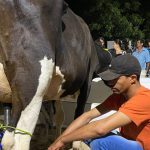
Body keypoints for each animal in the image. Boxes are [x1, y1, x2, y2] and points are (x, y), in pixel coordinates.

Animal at [0, 0, 110, 149]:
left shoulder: (55, 92)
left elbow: (59, 116)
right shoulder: (87, 82)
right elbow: (79, 115)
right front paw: (76, 145)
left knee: (9, 139)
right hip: (33, 86)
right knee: (19, 140)